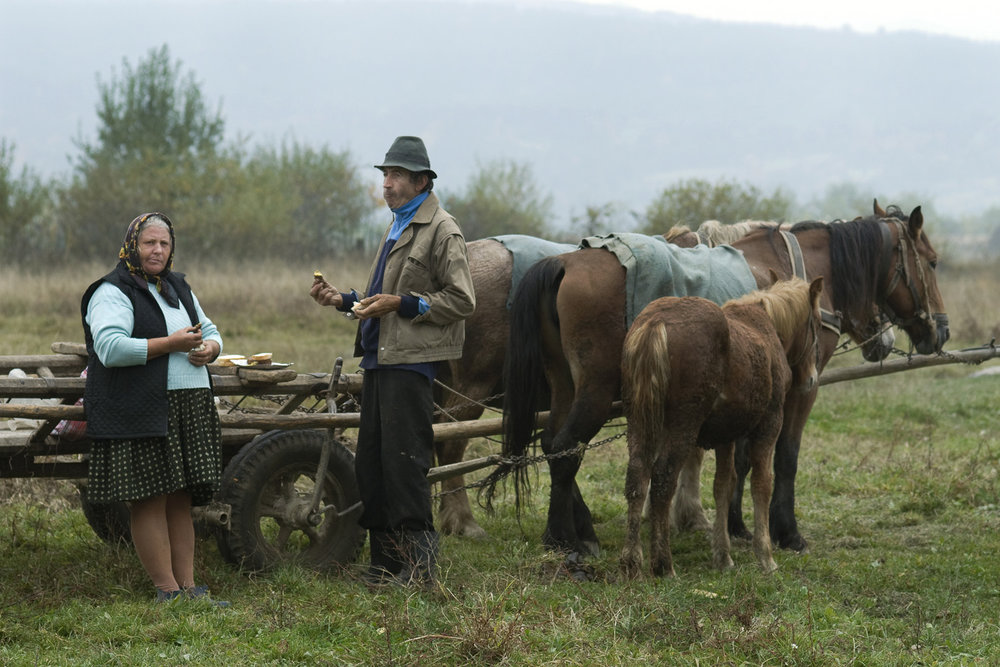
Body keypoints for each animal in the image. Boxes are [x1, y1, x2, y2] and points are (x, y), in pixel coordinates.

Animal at [620, 276, 824, 580]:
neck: (764, 328)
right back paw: (664, 564)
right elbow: (761, 484)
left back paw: (631, 562)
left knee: (637, 477)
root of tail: (656, 322)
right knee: (662, 481)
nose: (811, 378)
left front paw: (723, 555)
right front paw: (765, 556)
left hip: (640, 423)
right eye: (818, 323)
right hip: (681, 427)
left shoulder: (726, 436)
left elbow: (723, 485)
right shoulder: (769, 425)